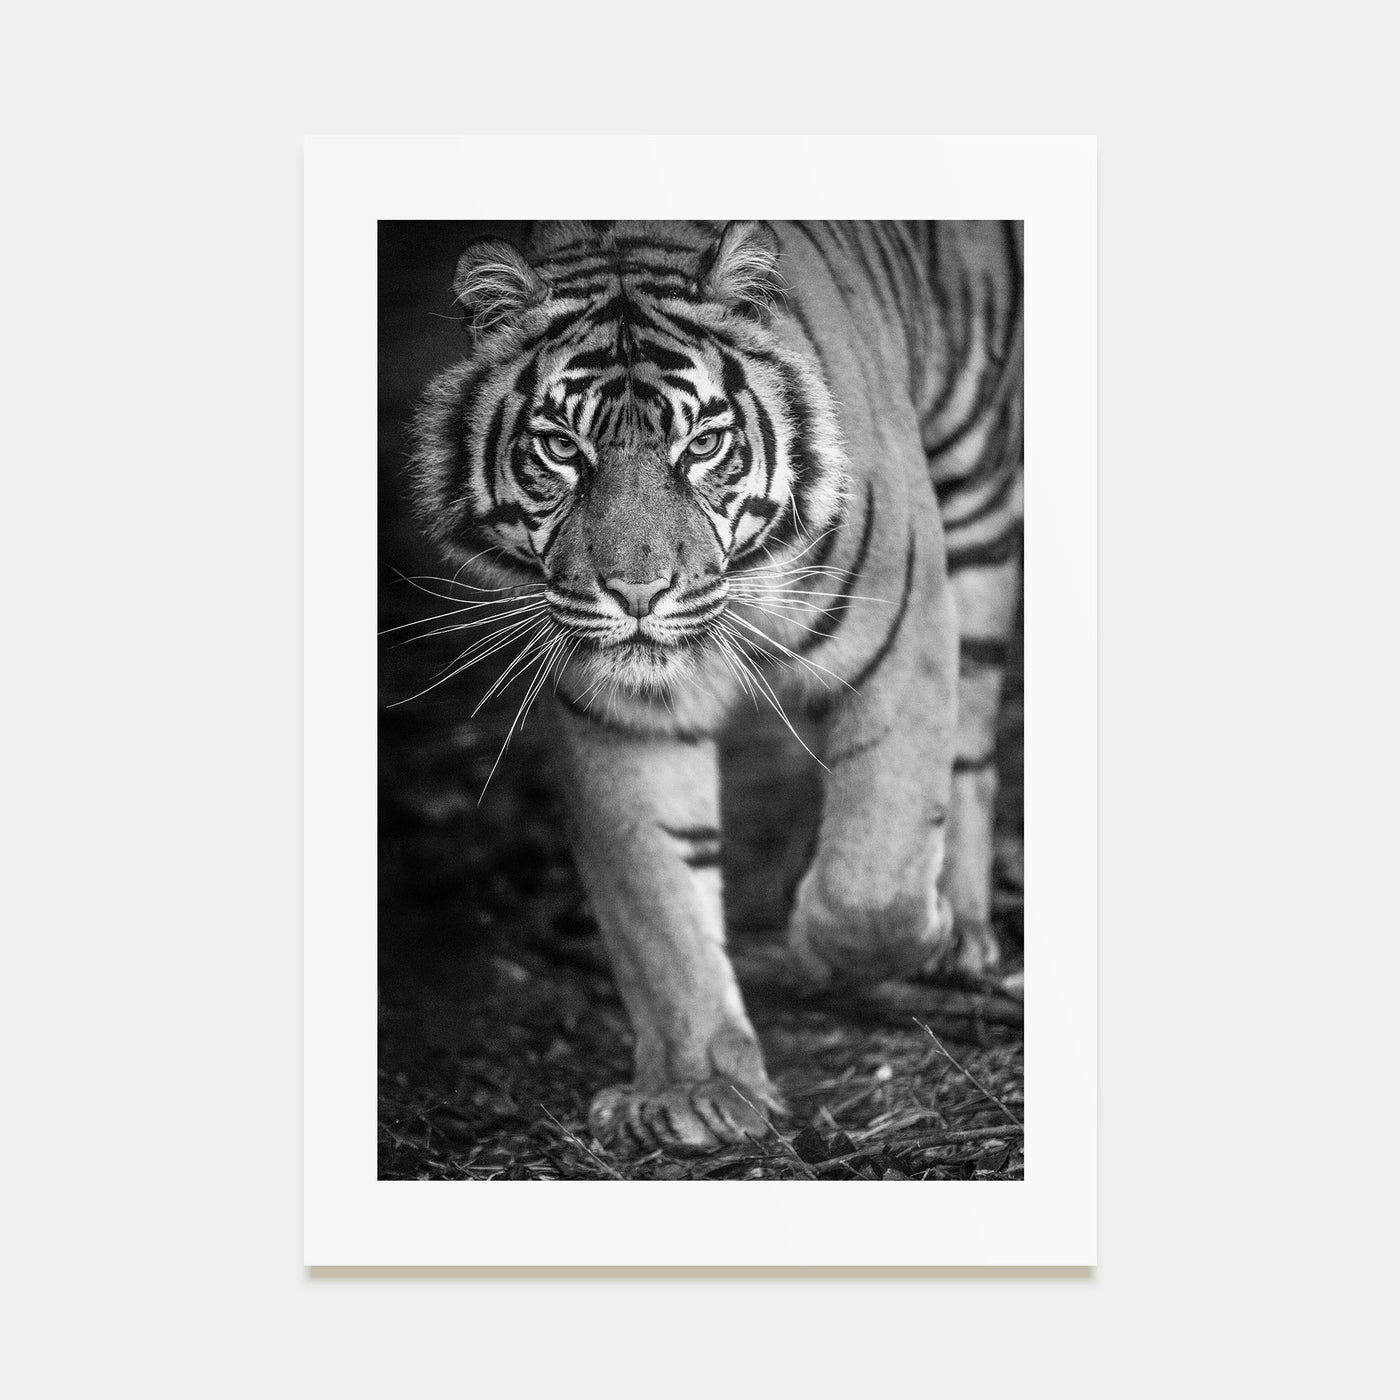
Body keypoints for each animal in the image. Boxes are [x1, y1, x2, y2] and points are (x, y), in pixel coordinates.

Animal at [409, 220, 1022, 1155]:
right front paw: (695, 1088)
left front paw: (888, 938)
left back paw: (960, 929)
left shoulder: (904, 623)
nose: (636, 593)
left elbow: (870, 882)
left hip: (977, 493)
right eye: (561, 448)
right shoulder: (621, 714)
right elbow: (658, 900)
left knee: (973, 748)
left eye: (701, 445)